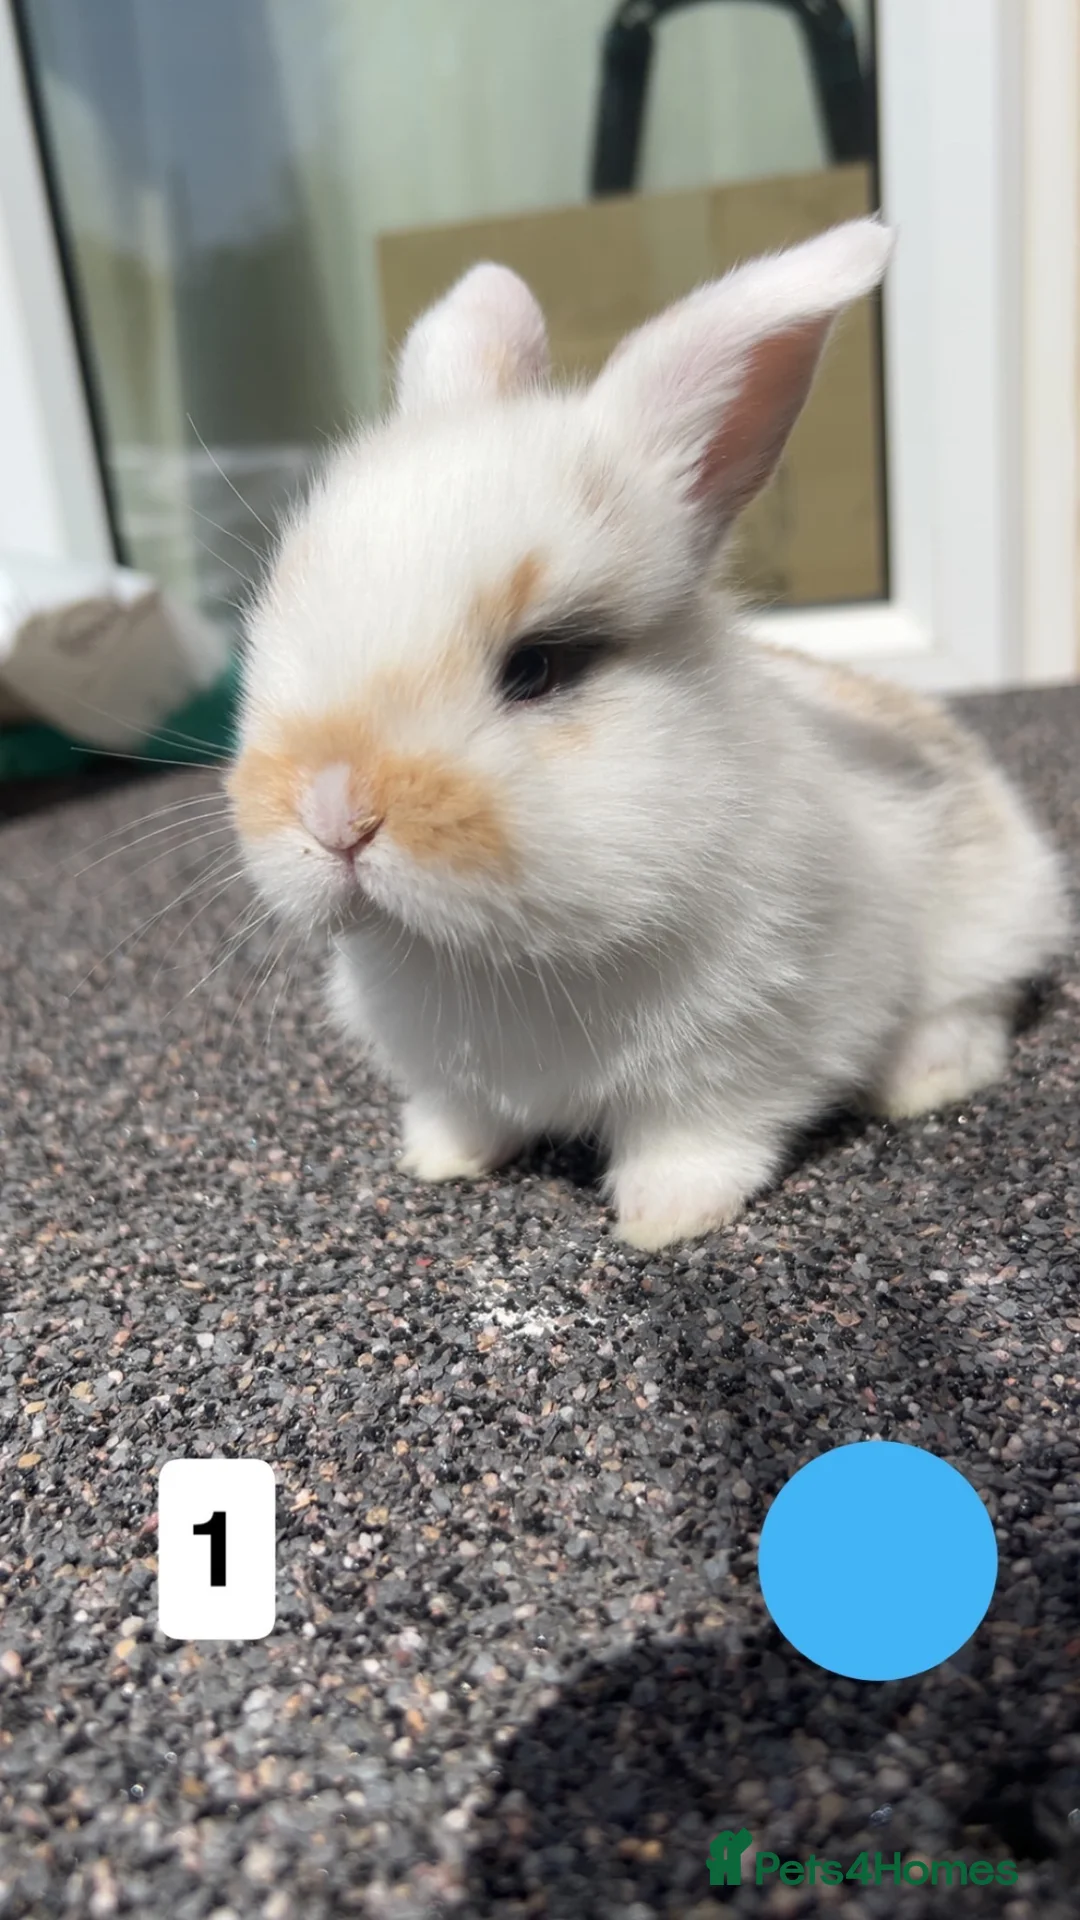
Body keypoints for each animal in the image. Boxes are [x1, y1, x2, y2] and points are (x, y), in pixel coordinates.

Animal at [228, 217, 1069, 1252]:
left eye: (541, 666)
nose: (331, 811)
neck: (499, 957)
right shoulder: (452, 1076)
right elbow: (462, 1115)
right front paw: (438, 1160)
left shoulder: (739, 1055)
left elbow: (699, 1138)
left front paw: (666, 1220)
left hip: (986, 922)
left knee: (973, 1007)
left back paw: (919, 1080)